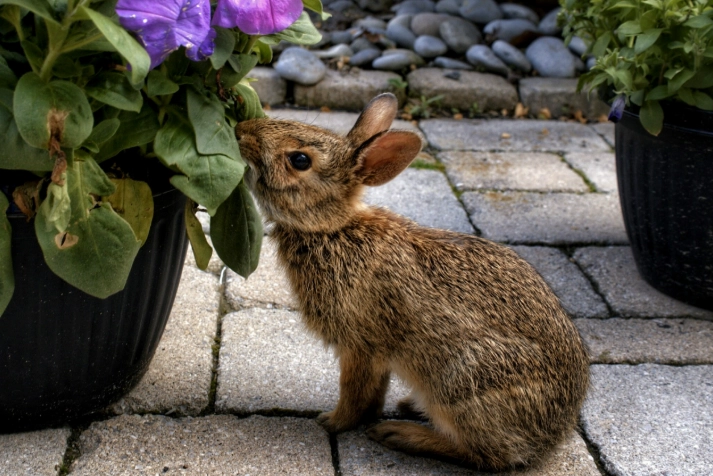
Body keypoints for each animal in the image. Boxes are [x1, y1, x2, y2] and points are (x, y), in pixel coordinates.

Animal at [235, 93, 590, 471]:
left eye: (299, 160)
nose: (242, 131)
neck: (332, 229)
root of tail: (554, 435)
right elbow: (374, 392)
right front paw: (362, 417)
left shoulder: (361, 346)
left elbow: (354, 391)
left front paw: (333, 422)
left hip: (464, 383)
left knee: (489, 455)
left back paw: (401, 434)